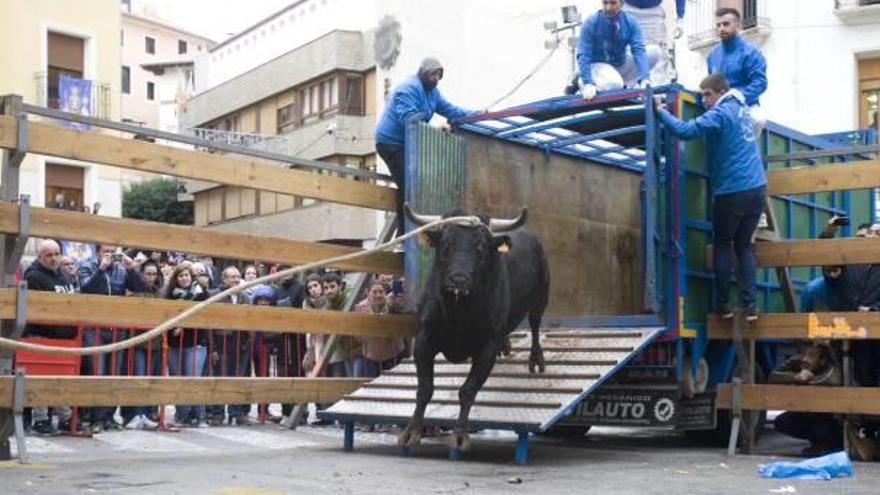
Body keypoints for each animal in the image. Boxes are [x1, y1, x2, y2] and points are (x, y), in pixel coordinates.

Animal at [400, 203, 552, 452]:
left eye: (481, 247)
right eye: (446, 244)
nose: (458, 279)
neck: (458, 310)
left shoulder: (486, 347)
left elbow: (467, 391)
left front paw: (460, 435)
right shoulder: (423, 339)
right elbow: (425, 389)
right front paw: (411, 432)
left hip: (541, 297)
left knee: (535, 325)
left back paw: (536, 359)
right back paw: (506, 346)